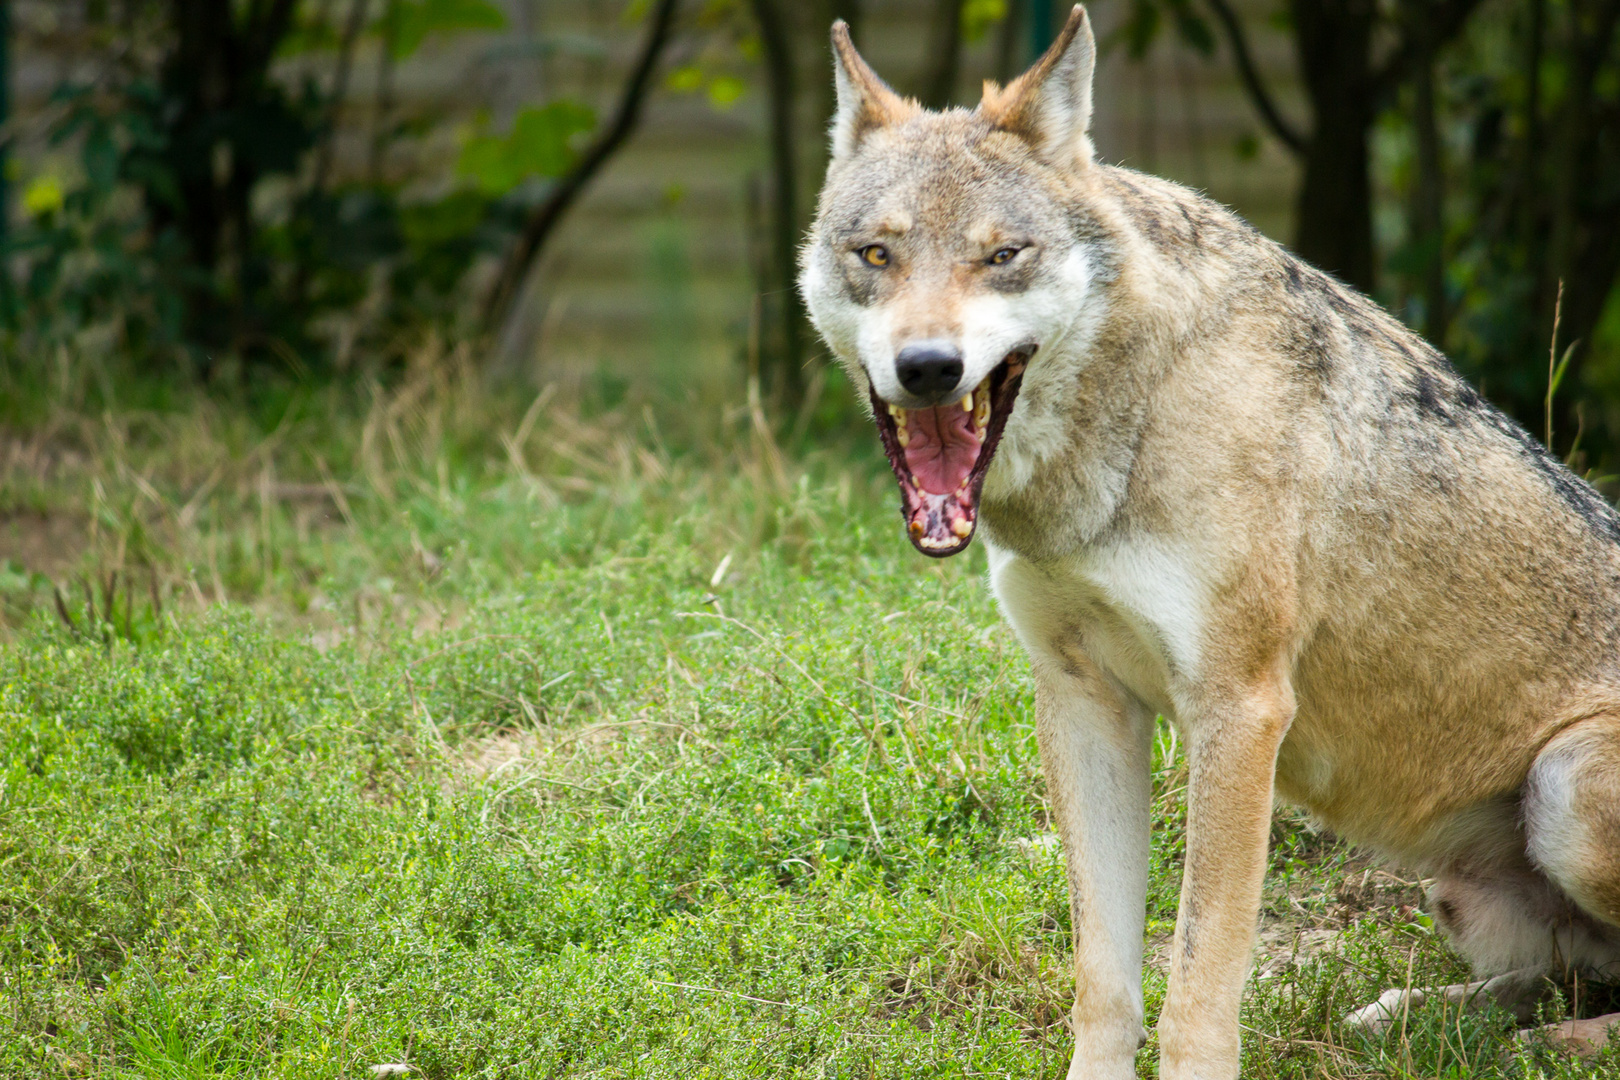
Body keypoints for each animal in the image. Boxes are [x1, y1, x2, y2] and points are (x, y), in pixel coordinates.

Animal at [797, 8, 1620, 1080]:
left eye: (1004, 254)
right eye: (875, 256)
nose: (928, 368)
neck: (1131, 427)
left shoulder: (1239, 712)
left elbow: (1196, 988)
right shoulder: (1083, 703)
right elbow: (1105, 982)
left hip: (1566, 783)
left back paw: (1555, 1044)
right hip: (1464, 891)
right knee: (1563, 973)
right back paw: (1418, 1015)